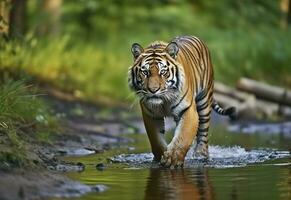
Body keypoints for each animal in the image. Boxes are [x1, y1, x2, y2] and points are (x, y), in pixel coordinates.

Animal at [129, 36, 236, 167]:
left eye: (163, 72)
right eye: (145, 72)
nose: (153, 90)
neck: (164, 102)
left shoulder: (188, 111)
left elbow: (183, 137)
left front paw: (173, 160)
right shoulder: (151, 115)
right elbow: (156, 140)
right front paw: (160, 157)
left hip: (204, 103)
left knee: (203, 133)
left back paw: (201, 155)